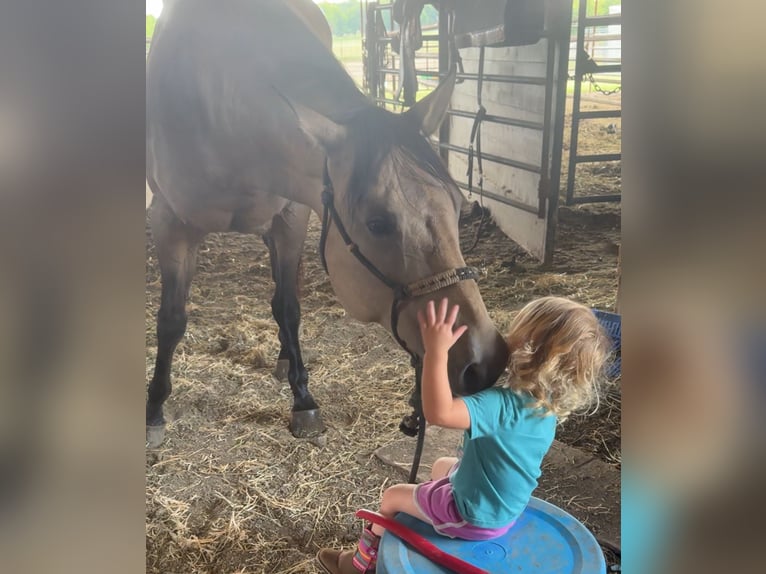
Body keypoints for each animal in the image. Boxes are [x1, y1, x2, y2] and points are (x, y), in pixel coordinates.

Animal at [148, 0, 512, 450]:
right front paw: (154, 407)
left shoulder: (291, 217)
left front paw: (302, 398)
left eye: (457, 205)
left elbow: (288, 307)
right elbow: (171, 319)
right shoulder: (168, 222)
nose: (485, 361)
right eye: (377, 223)